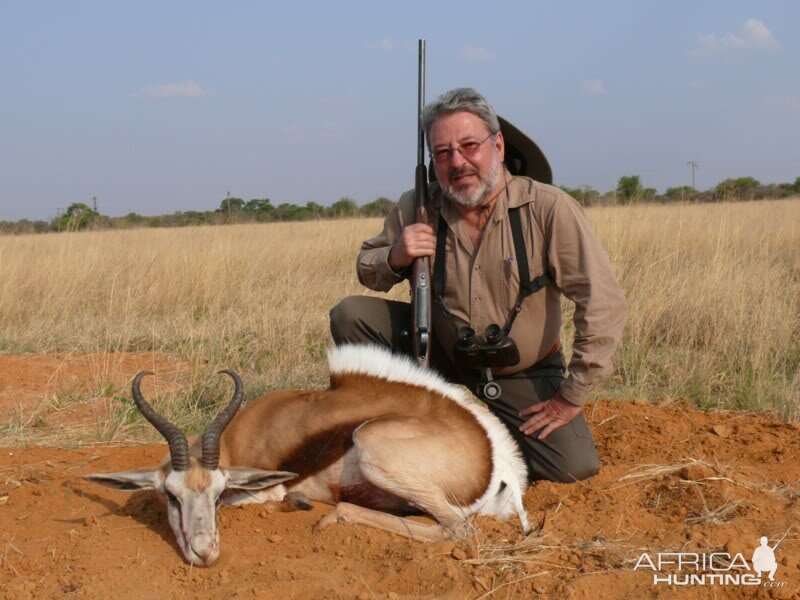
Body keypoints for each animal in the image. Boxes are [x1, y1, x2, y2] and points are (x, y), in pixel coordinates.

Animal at [86, 344, 532, 564]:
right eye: (172, 496)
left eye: (217, 494)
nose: (205, 553)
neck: (237, 438)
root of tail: (497, 460)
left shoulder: (265, 487)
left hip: (372, 445)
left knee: (457, 529)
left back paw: (330, 515)